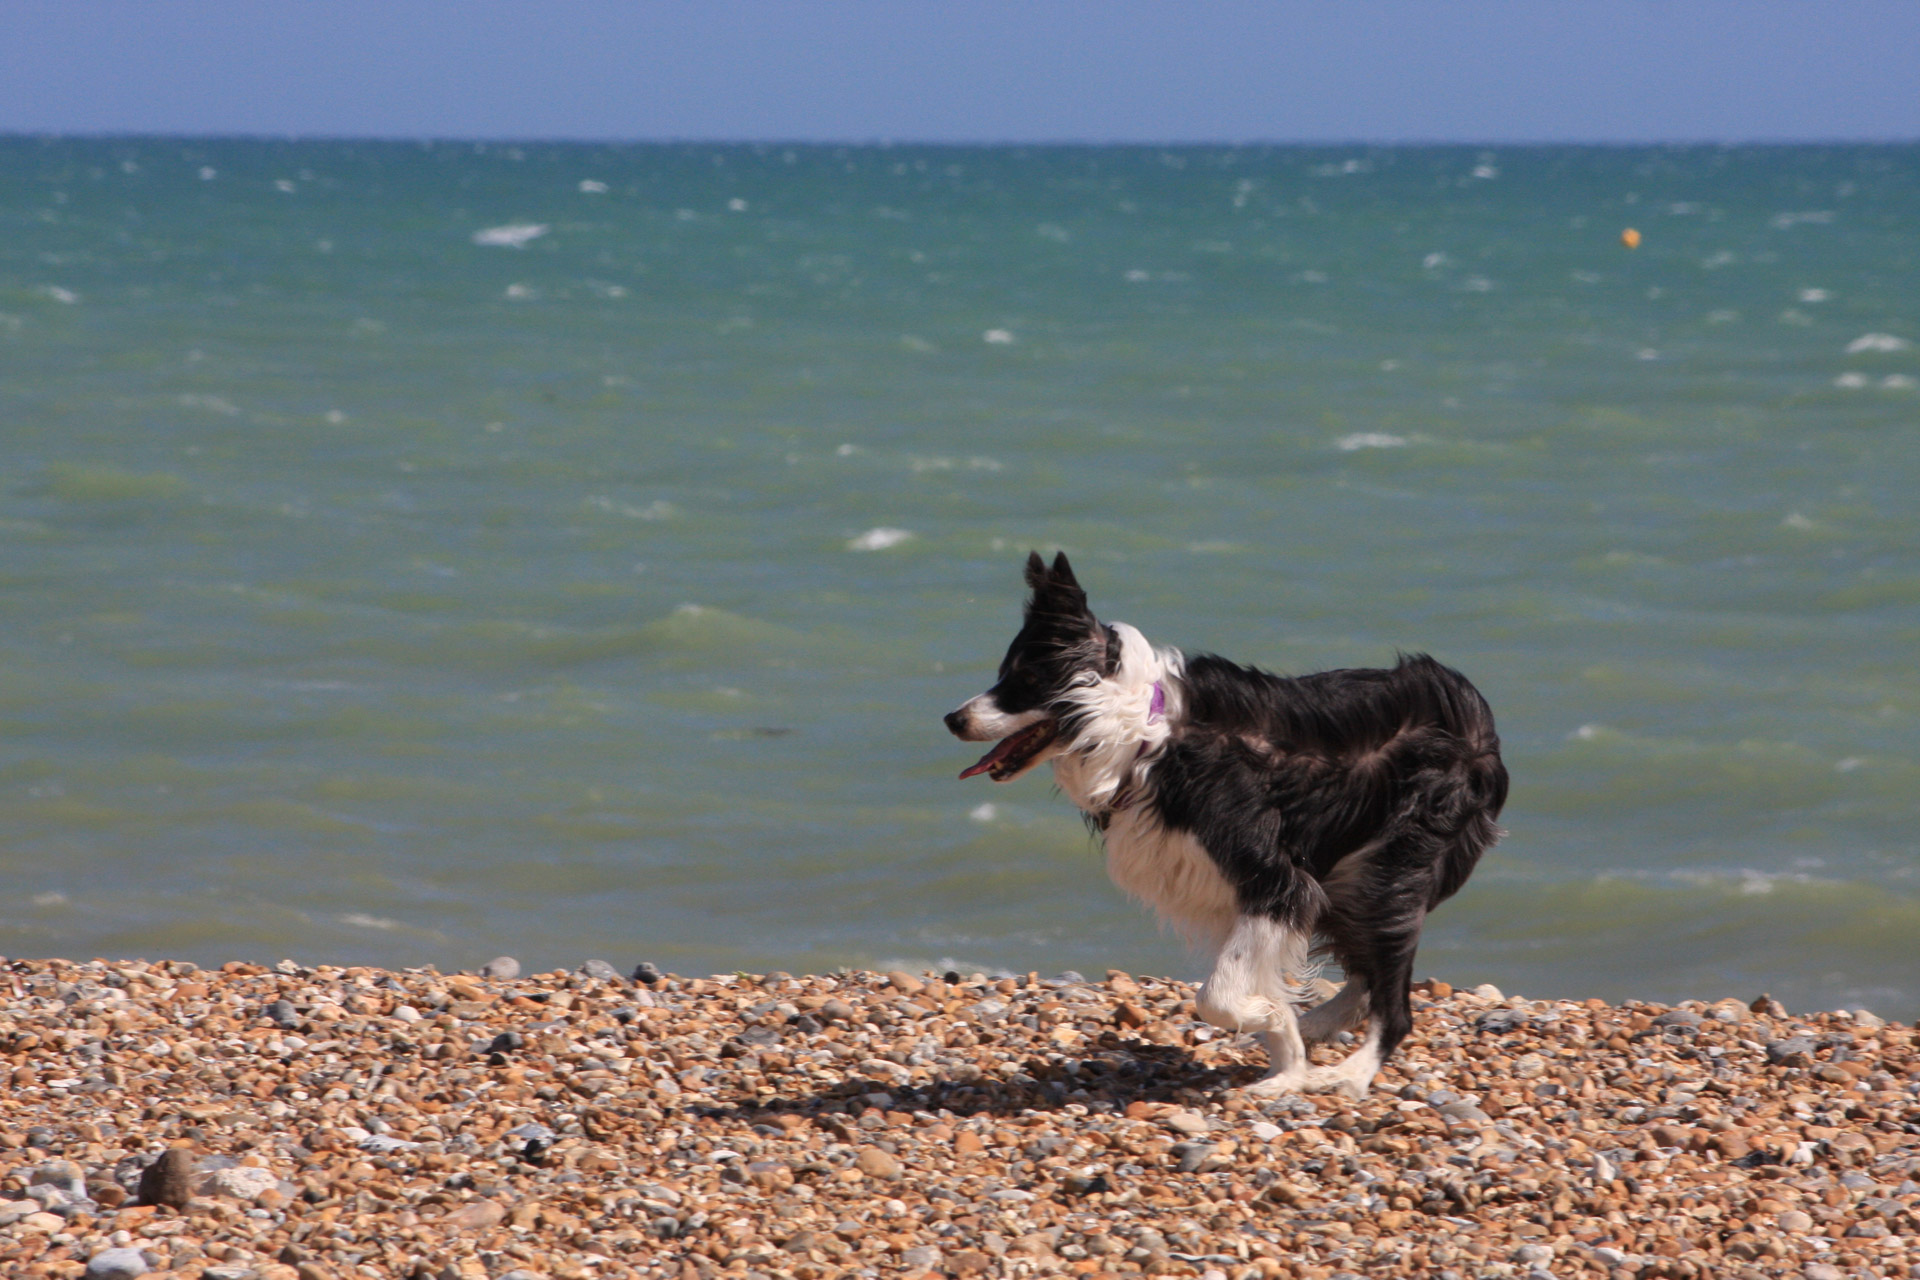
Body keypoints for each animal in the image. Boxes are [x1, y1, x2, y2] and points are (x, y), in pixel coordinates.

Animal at [936, 552, 1505, 1105]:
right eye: (1004, 673)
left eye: (1026, 680)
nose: (952, 719)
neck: (1143, 734)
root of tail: (1476, 713)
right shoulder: (1239, 895)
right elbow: (1239, 986)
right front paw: (1287, 1057)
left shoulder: (1276, 881)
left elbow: (1215, 996)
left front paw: (1279, 1031)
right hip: (1352, 879)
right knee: (1367, 974)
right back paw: (1320, 1025)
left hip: (1389, 871)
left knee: (1396, 1005)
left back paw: (1349, 1075)